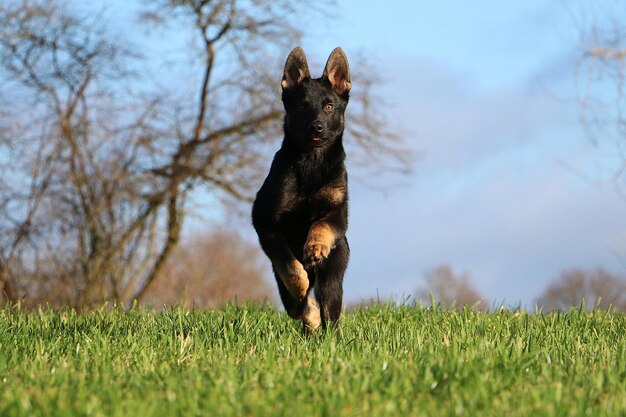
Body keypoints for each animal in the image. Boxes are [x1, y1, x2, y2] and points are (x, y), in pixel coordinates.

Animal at [254, 46, 352, 332]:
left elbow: (322, 225)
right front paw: (300, 285)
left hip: (334, 273)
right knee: (299, 307)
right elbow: (287, 264)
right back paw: (311, 316)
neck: (312, 161)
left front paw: (315, 247)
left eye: (329, 106)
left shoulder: (337, 214)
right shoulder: (265, 221)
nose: (316, 127)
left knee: (329, 307)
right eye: (301, 106)